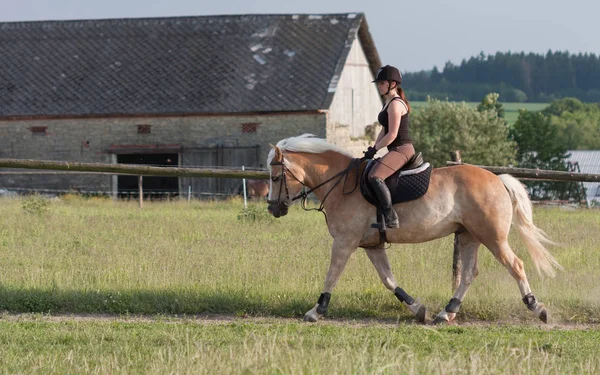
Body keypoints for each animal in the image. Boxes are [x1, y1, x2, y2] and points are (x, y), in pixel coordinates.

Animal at [264, 135, 560, 326]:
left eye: (276, 177)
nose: (273, 208)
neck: (341, 183)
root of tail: (497, 179)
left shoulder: (344, 242)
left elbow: (332, 276)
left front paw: (316, 311)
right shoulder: (372, 245)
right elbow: (388, 279)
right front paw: (418, 309)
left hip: (492, 237)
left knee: (516, 265)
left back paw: (537, 308)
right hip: (469, 236)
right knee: (468, 274)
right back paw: (446, 313)